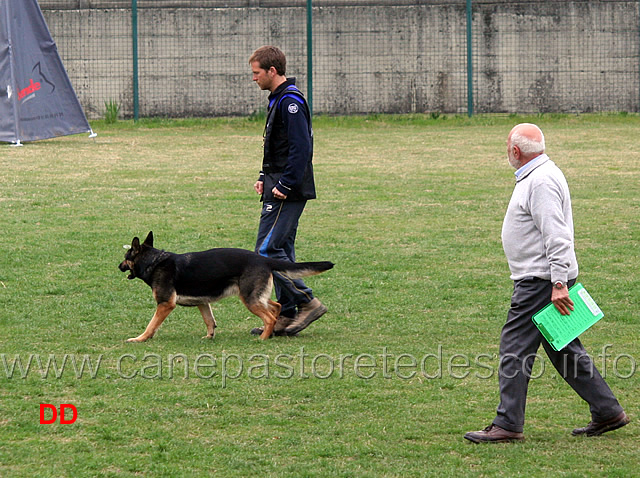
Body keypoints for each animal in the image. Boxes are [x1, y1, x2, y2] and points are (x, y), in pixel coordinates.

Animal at [119, 232, 336, 342]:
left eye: (126, 257)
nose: (118, 266)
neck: (154, 261)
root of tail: (263, 259)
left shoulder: (165, 304)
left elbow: (151, 324)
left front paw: (141, 338)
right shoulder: (203, 302)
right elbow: (209, 320)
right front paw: (209, 336)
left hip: (249, 299)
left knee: (270, 316)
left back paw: (263, 338)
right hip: (256, 296)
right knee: (276, 307)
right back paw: (272, 331)